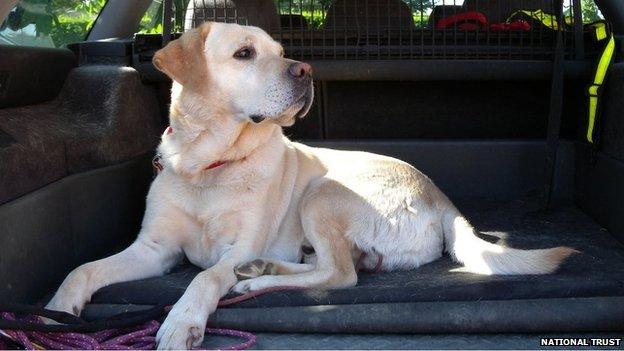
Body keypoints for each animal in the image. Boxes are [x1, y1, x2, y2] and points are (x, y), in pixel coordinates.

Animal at [46, 22, 576, 350]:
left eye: (283, 53)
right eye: (244, 54)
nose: (305, 69)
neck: (210, 166)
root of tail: (443, 199)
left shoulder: (237, 246)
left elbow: (206, 276)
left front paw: (183, 321)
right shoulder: (154, 249)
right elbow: (82, 269)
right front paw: (54, 312)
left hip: (324, 191)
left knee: (340, 274)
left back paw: (256, 279)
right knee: (327, 265)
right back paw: (264, 271)